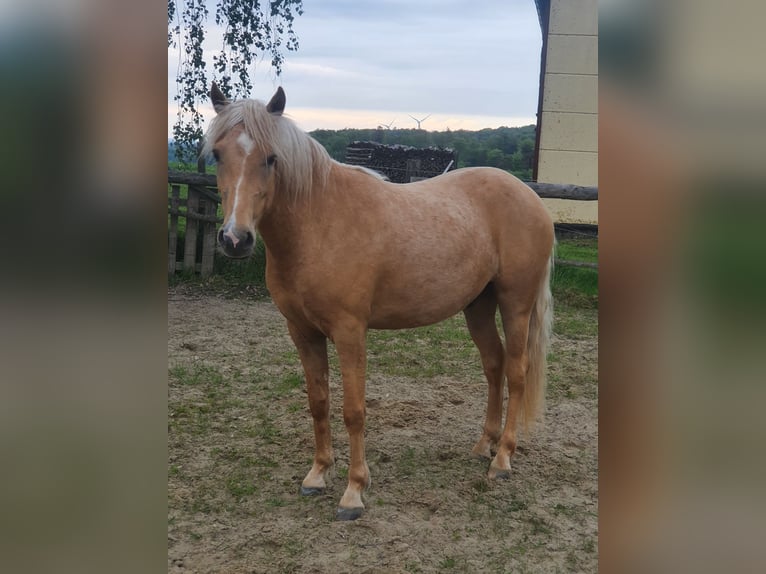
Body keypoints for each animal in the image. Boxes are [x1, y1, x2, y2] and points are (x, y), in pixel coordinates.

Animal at [204, 84, 556, 520]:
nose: (235, 239)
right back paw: (482, 446)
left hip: (515, 304)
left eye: (271, 158)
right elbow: (319, 402)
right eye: (217, 154)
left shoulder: (350, 332)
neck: (319, 223)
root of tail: (530, 197)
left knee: (517, 372)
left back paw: (503, 459)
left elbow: (354, 411)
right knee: (494, 365)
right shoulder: (302, 332)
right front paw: (317, 475)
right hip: (477, 306)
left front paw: (354, 491)